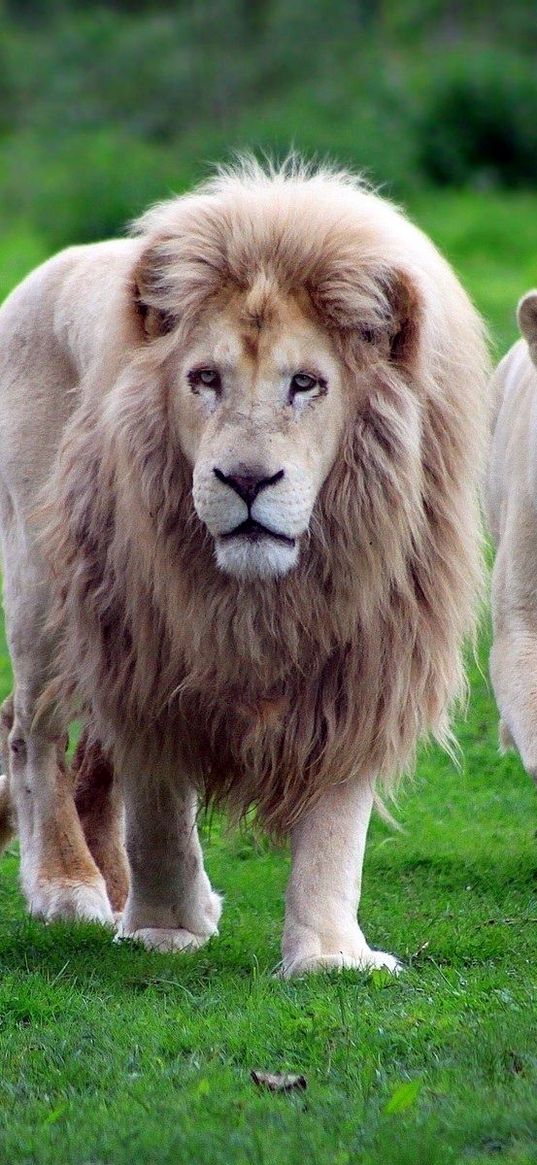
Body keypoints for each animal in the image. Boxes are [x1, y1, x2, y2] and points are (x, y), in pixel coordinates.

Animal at [0, 159, 489, 969]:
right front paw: (166, 928)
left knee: (92, 763)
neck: (267, 596)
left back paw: (116, 888)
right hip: (44, 589)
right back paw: (68, 888)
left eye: (306, 382)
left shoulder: (365, 660)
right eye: (204, 378)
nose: (247, 480)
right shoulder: (148, 651)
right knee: (31, 733)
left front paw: (329, 956)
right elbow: (161, 806)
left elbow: (335, 824)